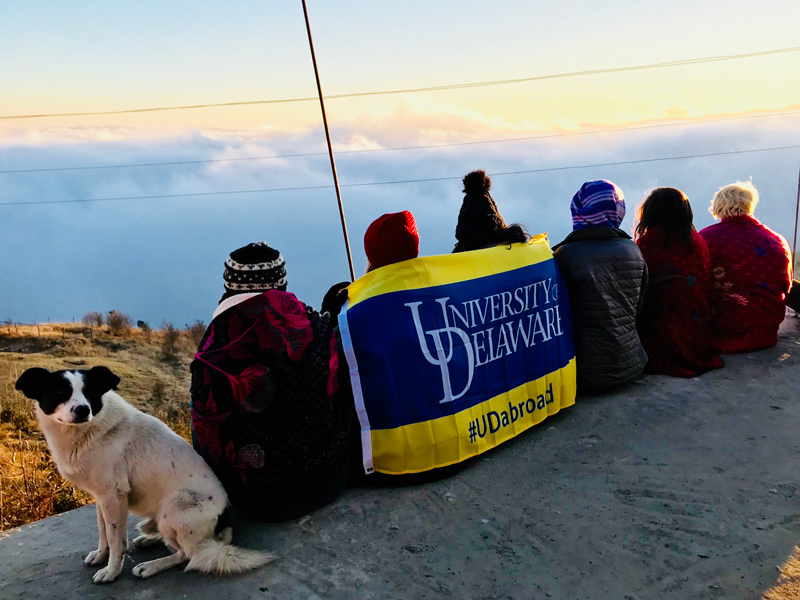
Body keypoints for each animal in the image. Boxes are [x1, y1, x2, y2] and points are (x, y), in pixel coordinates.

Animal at [13, 366, 272, 580]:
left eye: (90, 392)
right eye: (60, 391)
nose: (83, 409)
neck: (86, 431)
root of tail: (225, 521)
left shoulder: (113, 495)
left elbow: (115, 540)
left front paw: (111, 571)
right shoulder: (102, 497)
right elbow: (104, 532)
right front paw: (101, 555)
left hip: (174, 506)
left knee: (187, 554)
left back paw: (150, 566)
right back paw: (149, 538)